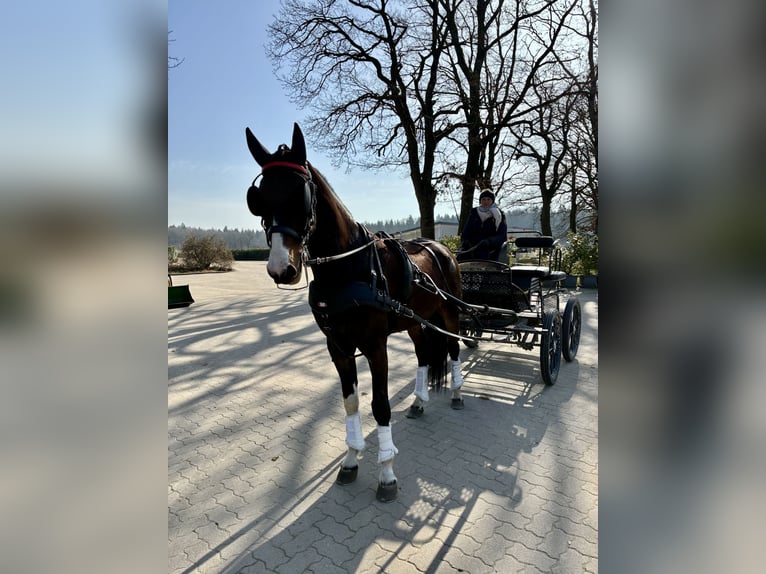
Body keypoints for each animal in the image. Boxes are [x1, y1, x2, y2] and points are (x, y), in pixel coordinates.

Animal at [244, 123, 465, 502]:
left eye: (301, 195)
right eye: (260, 200)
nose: (281, 269)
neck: (349, 268)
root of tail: (440, 248)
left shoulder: (376, 346)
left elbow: (380, 405)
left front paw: (387, 473)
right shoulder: (338, 347)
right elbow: (351, 404)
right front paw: (350, 460)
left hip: (448, 312)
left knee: (452, 348)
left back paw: (456, 393)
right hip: (414, 321)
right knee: (424, 354)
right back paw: (419, 401)